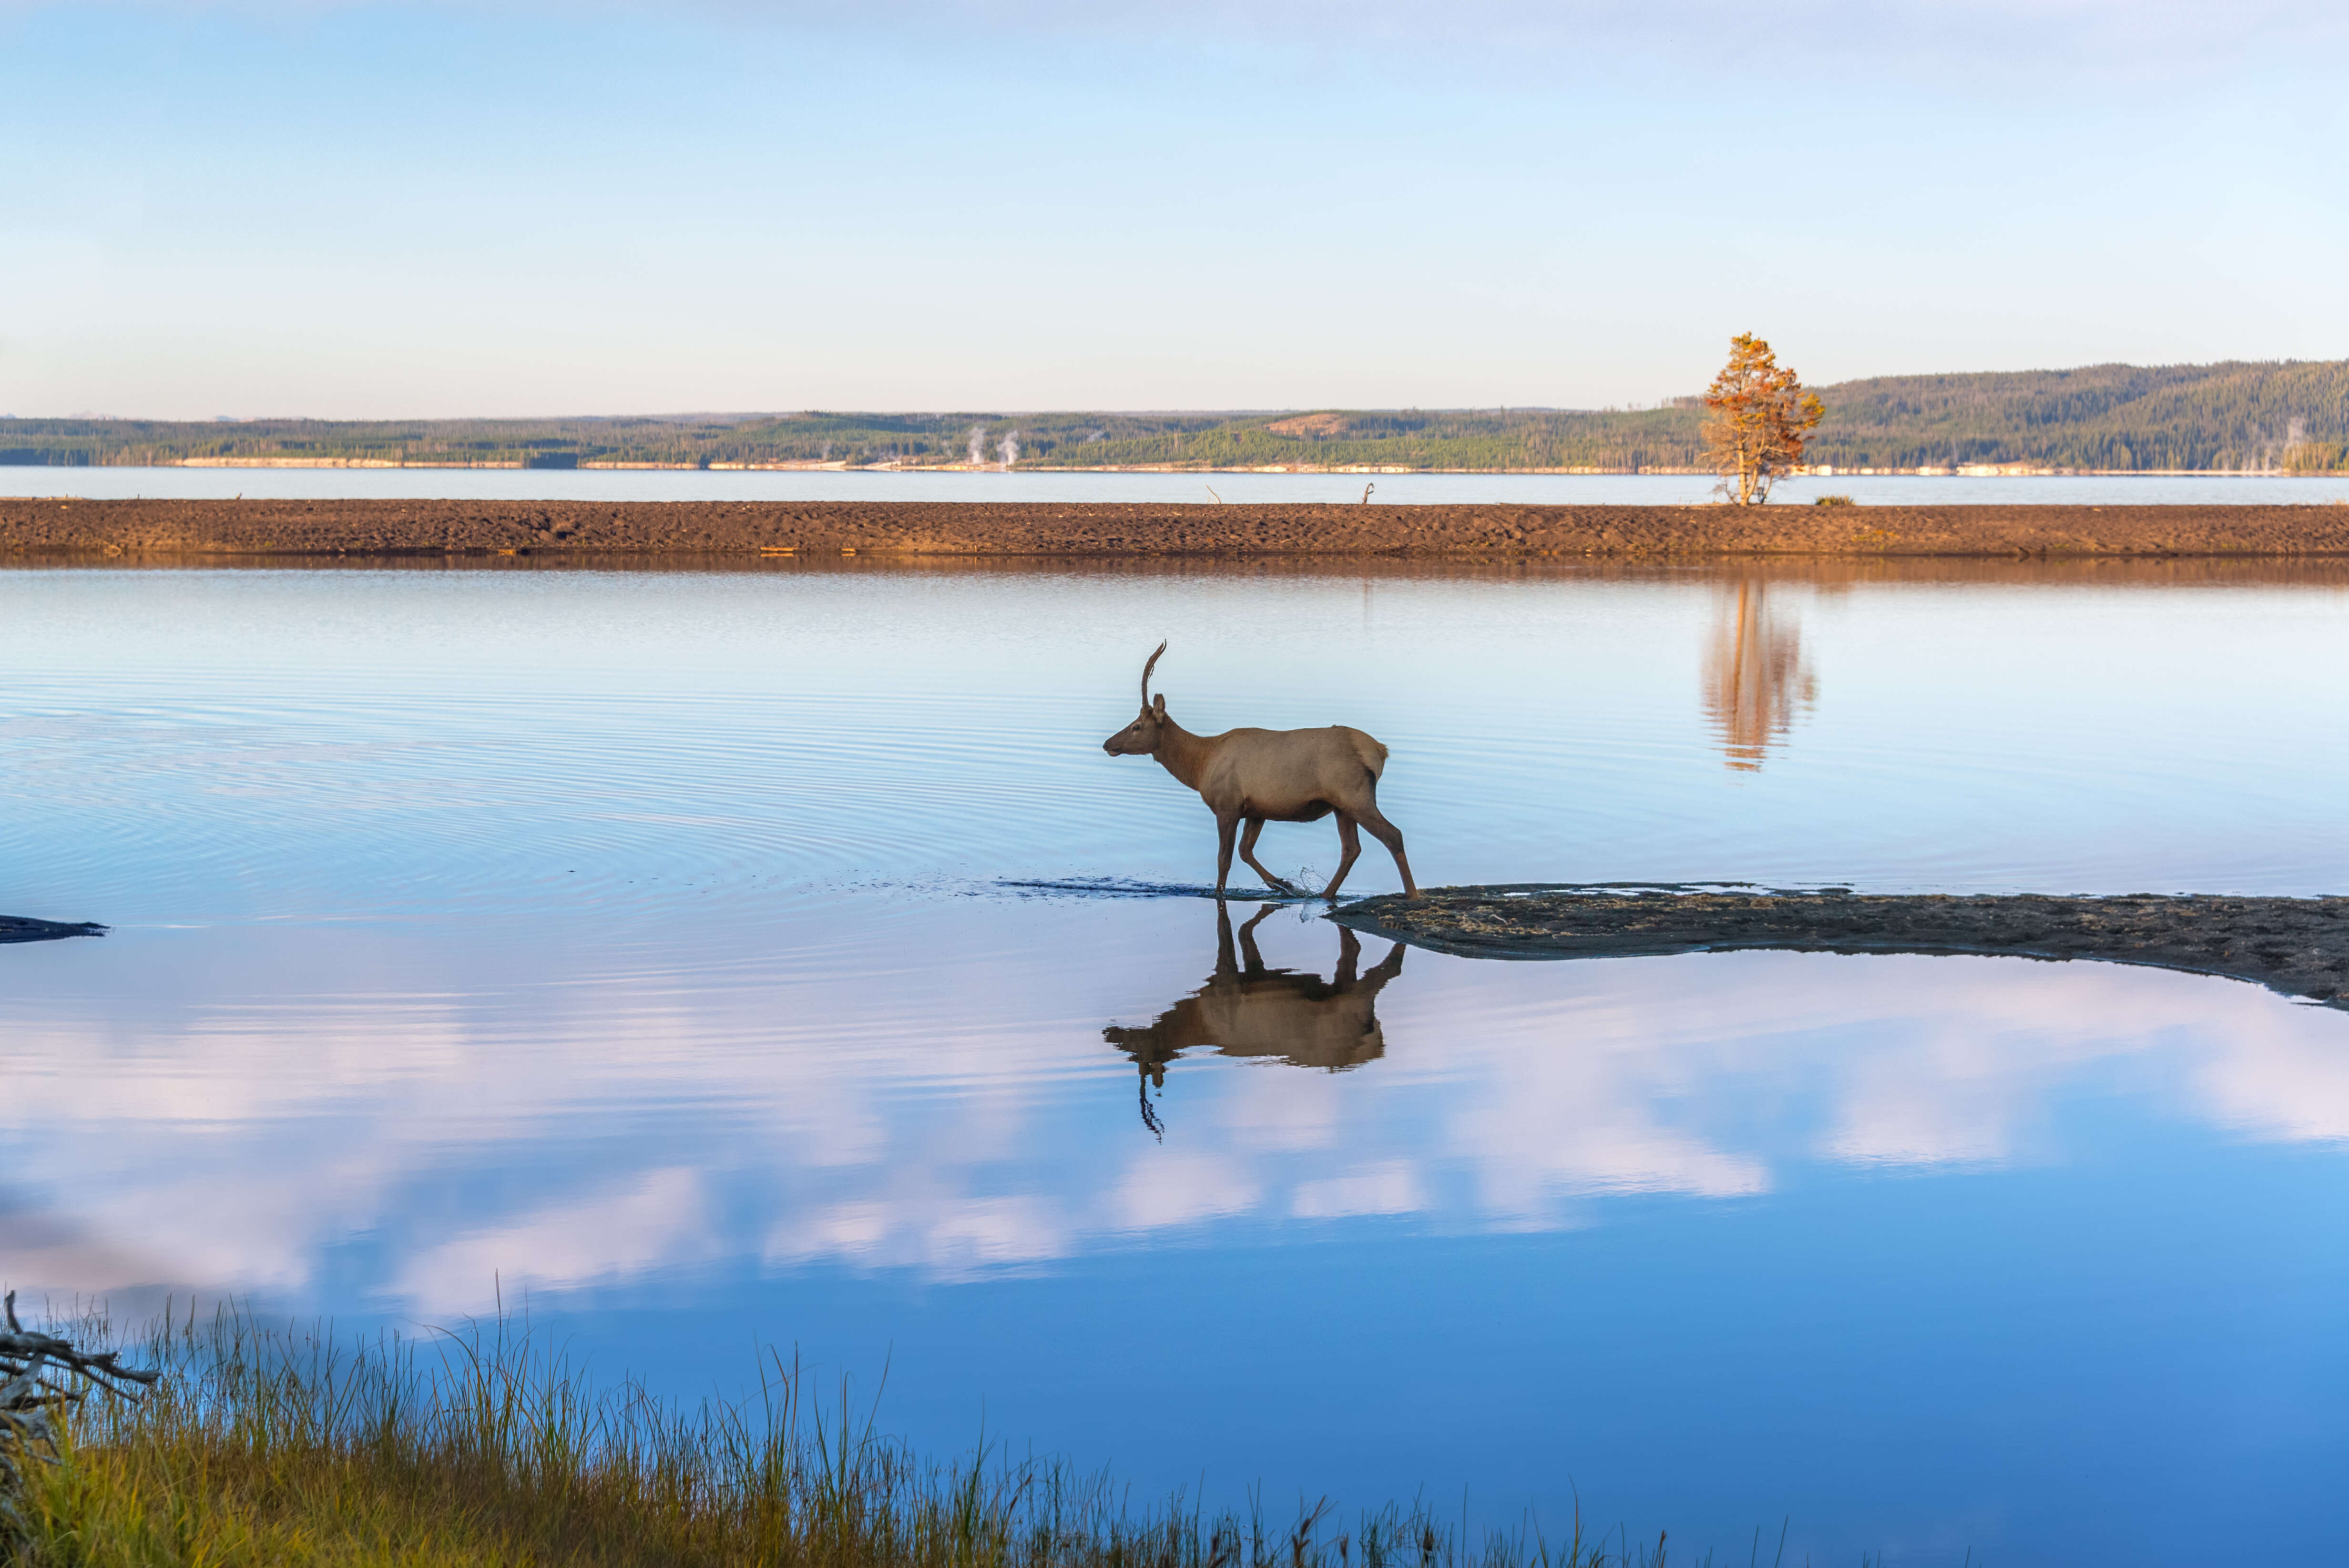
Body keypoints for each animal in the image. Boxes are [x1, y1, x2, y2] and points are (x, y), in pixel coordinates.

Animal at [1094, 638, 1409, 892]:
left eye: (1136, 727)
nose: (1108, 744)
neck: (1200, 766)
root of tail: (1380, 752)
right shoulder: (1257, 810)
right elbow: (1246, 851)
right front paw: (1284, 884)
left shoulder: (1227, 804)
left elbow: (1224, 858)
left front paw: (1220, 893)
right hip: (1341, 806)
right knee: (1351, 849)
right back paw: (1325, 895)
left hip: (1354, 795)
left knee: (1392, 835)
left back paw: (1411, 896)